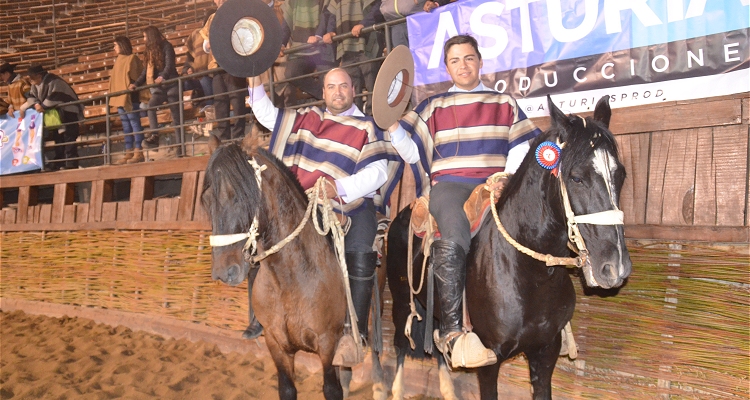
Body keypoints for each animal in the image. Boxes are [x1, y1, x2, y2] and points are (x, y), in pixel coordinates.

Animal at [203, 135, 350, 400]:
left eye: (239, 195)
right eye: (208, 200)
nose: (223, 272)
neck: (290, 280)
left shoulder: (328, 343)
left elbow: (332, 389)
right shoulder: (276, 344)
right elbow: (287, 389)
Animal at [384, 95, 632, 398]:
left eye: (621, 175)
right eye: (576, 177)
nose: (615, 267)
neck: (529, 273)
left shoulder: (545, 352)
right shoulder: (490, 361)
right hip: (400, 301)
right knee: (400, 344)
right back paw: (397, 388)